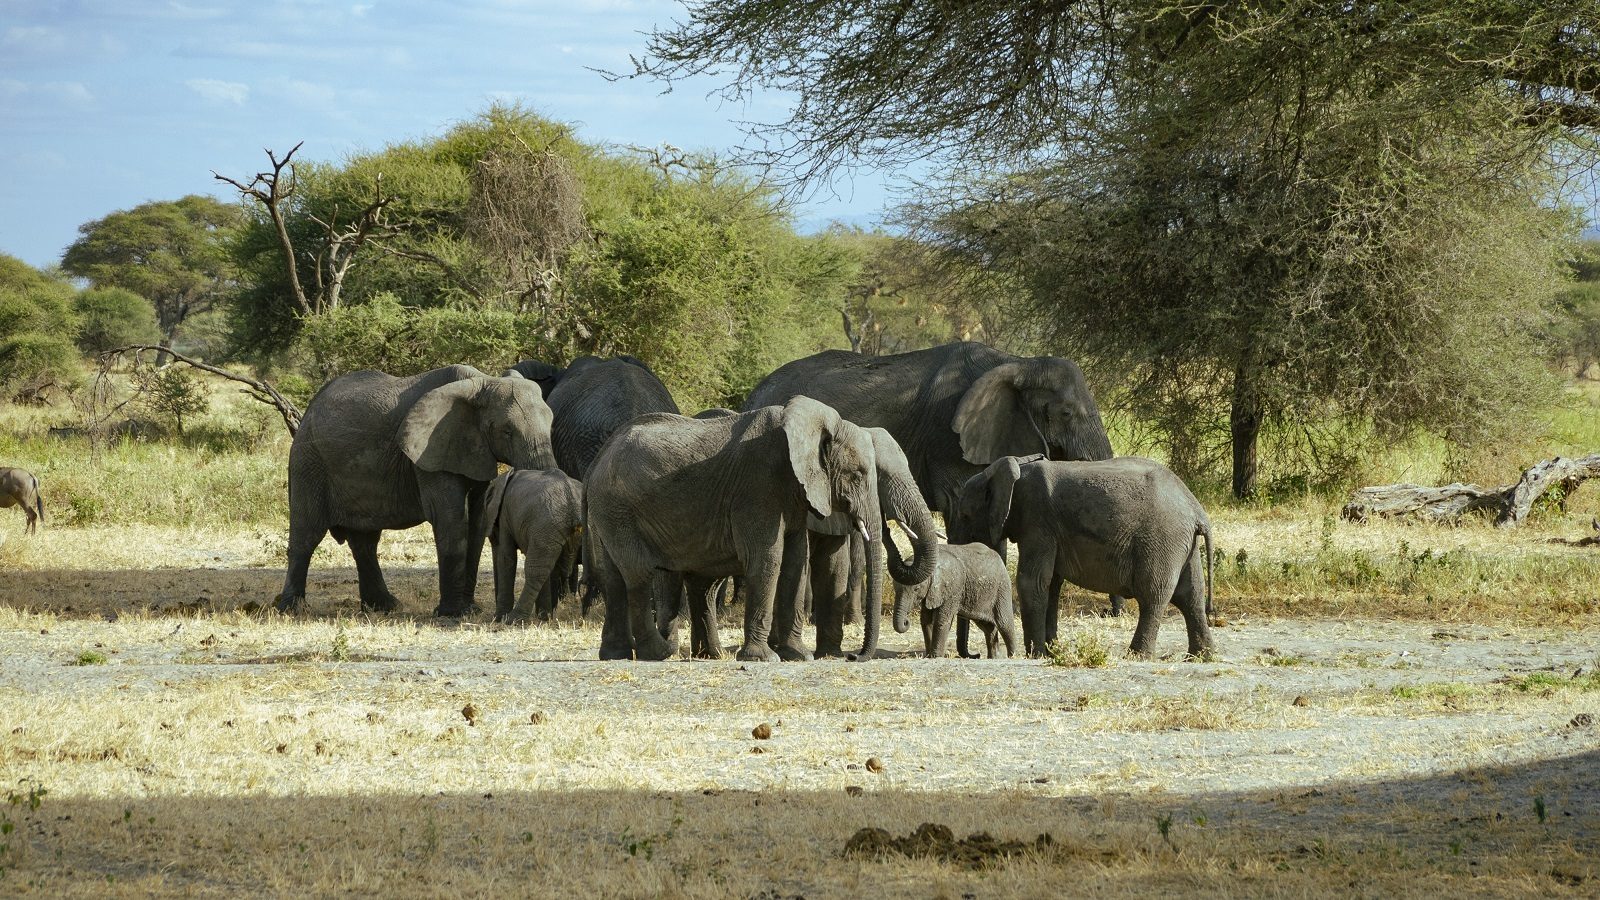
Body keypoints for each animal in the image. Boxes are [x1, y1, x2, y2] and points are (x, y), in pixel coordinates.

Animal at [277, 365, 556, 617]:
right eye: (506, 431)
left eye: (551, 421)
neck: (482, 382)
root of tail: (310, 407)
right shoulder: (428, 452)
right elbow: (450, 519)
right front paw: (451, 614)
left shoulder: (473, 449)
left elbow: (477, 524)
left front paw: (470, 610)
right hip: (307, 461)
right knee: (307, 535)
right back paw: (291, 610)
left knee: (365, 541)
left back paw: (384, 607)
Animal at [481, 469, 584, 623]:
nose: (495, 617)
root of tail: (571, 497)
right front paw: (543, 617)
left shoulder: (505, 515)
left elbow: (506, 558)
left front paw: (499, 619)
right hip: (552, 528)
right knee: (546, 567)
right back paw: (544, 617)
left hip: (546, 523)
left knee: (535, 570)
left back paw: (514, 620)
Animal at [585, 396, 885, 662]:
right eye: (856, 475)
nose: (853, 656)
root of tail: (599, 457)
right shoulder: (758, 486)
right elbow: (767, 559)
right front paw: (764, 658)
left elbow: (795, 561)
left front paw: (798, 656)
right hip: (618, 509)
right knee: (638, 573)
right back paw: (659, 653)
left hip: (606, 513)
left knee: (615, 577)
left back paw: (618, 655)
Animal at [950, 455, 1215, 659]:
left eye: (965, 515)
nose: (974, 655)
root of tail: (1197, 511)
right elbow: (1052, 585)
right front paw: (1051, 652)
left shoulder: (1037, 521)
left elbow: (1032, 581)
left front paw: (1036, 655)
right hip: (1183, 544)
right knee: (1191, 596)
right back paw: (1200, 657)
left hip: (1162, 539)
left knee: (1154, 595)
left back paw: (1137, 656)